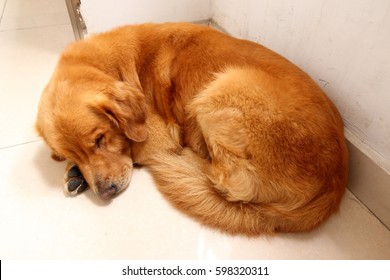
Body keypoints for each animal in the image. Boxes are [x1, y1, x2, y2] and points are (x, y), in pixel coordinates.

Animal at [35, 22, 348, 236]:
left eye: (101, 139)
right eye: (71, 155)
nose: (105, 193)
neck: (114, 66)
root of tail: (335, 182)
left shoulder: (156, 137)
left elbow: (136, 149)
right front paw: (76, 172)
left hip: (223, 87)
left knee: (228, 182)